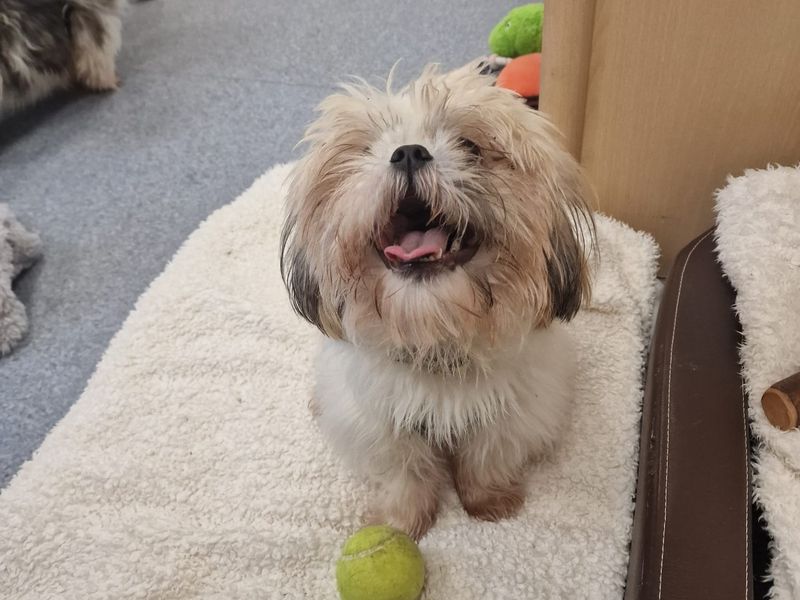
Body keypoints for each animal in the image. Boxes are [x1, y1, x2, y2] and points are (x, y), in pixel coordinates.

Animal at [282, 64, 592, 540]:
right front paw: (401, 522)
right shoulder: (381, 425)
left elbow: (487, 456)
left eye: (471, 147)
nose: (408, 152)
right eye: (366, 150)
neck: (435, 331)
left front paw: (489, 502)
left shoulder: (510, 412)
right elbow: (404, 470)